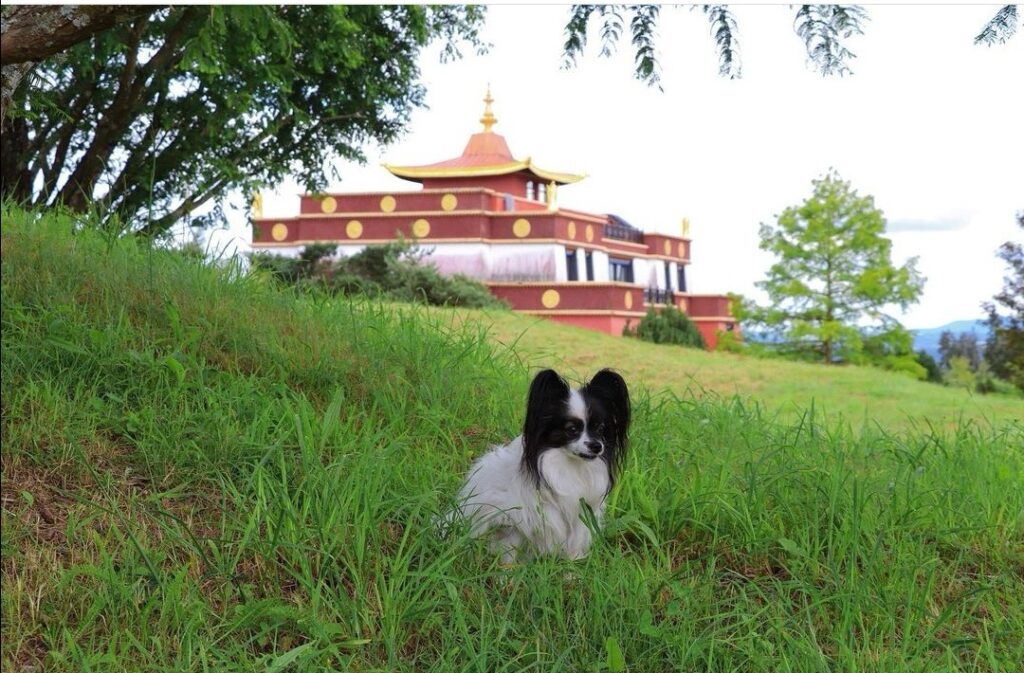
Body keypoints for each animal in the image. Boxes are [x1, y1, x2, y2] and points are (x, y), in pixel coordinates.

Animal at [452, 366, 626, 561]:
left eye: (600, 428)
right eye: (571, 429)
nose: (597, 446)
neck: (570, 466)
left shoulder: (580, 514)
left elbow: (575, 541)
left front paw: (573, 566)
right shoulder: (516, 515)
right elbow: (511, 545)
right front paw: (507, 569)